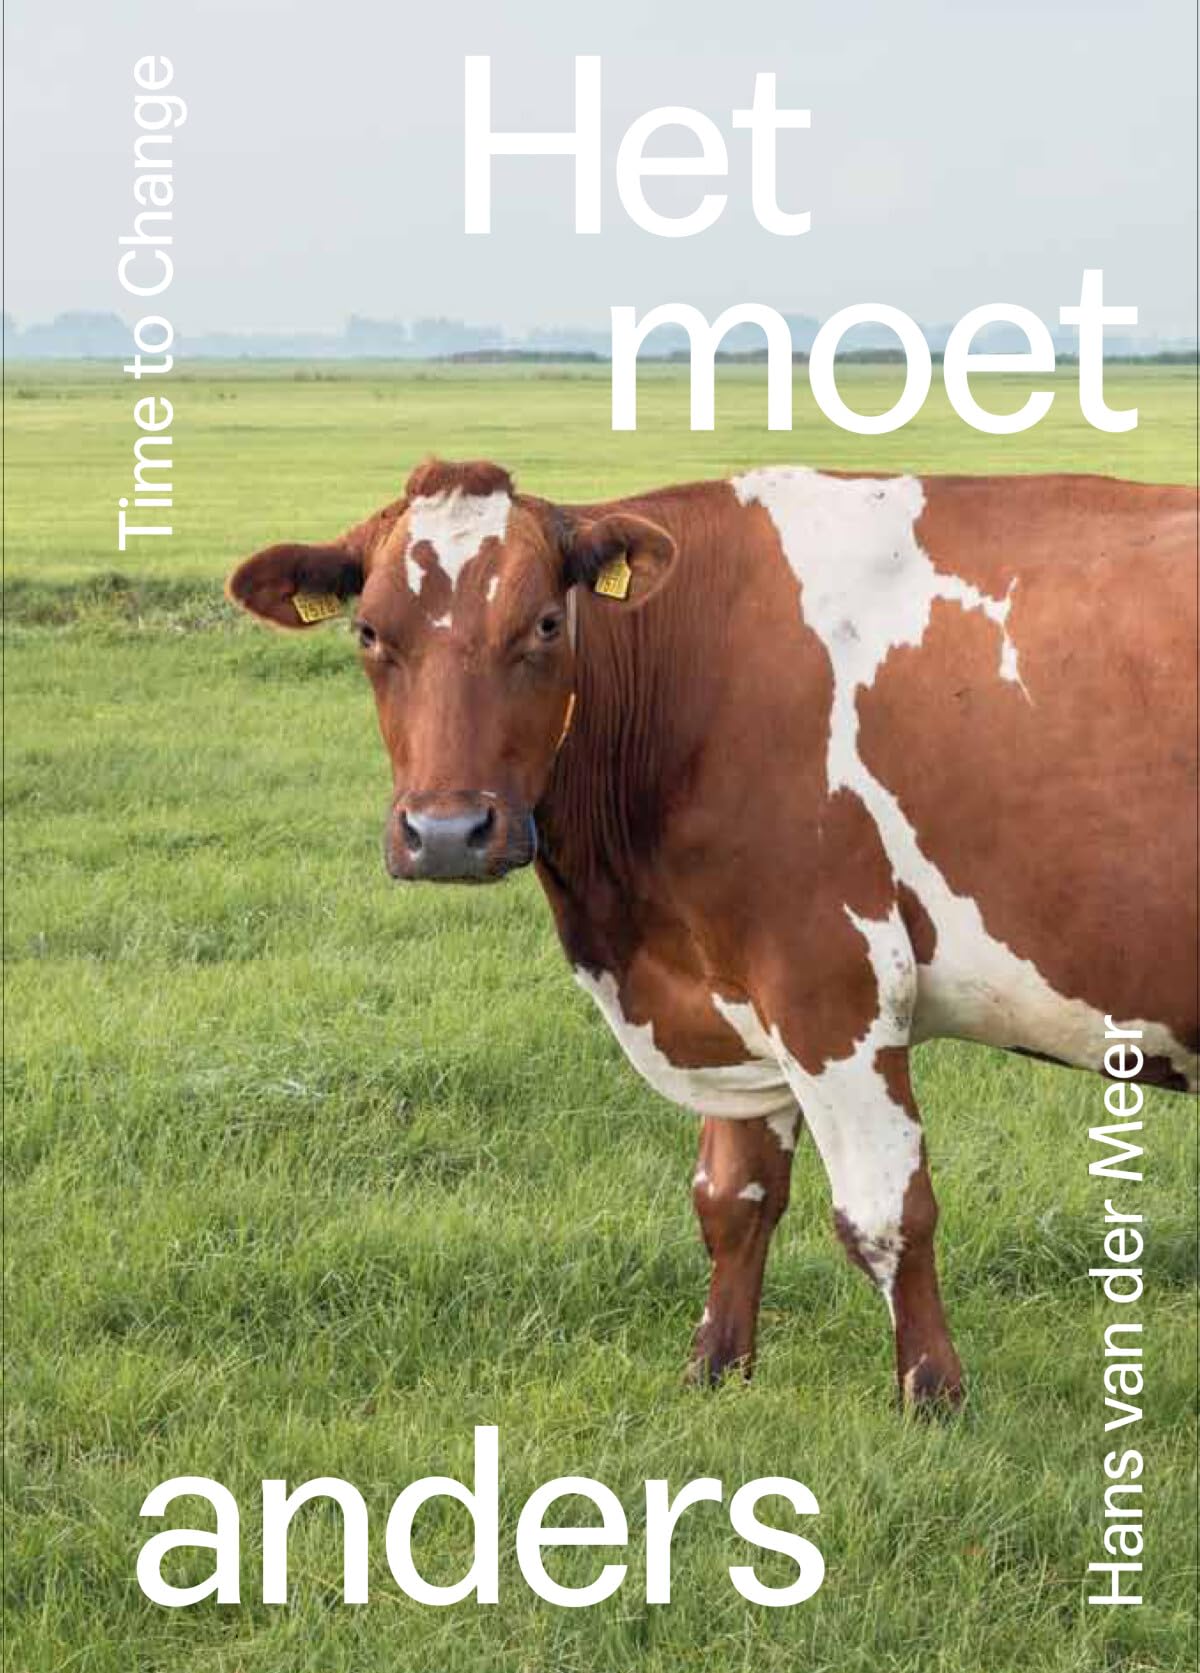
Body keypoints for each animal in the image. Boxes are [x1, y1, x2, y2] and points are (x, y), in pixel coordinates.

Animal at [228, 457, 1198, 1407]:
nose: (445, 833)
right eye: (369, 633)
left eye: (544, 623)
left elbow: (888, 1211)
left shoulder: (831, 982)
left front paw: (933, 1396)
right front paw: (715, 1372)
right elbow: (732, 1197)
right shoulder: (730, 988)